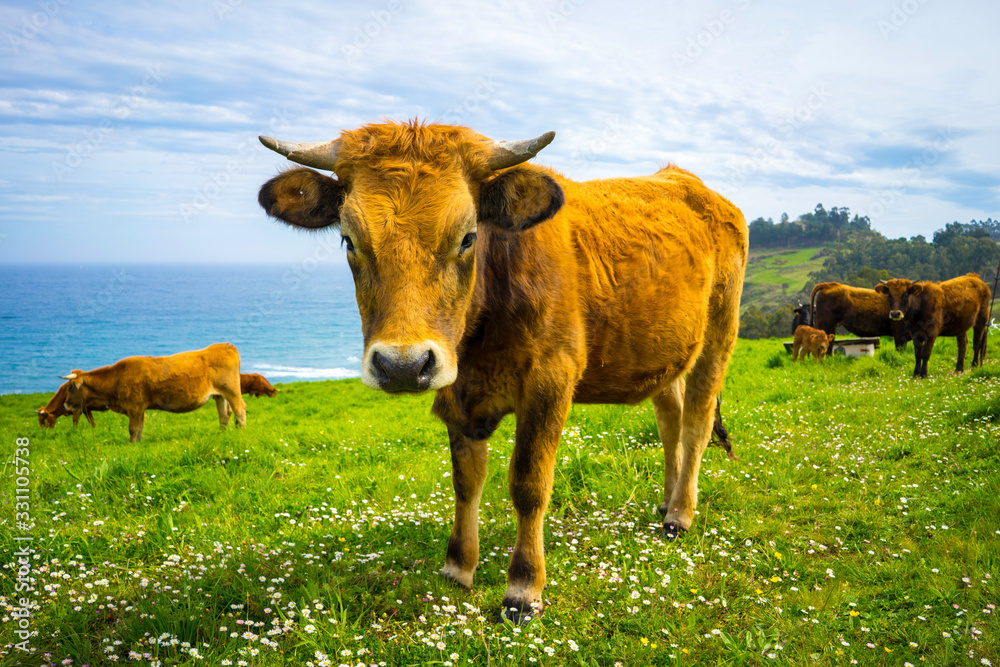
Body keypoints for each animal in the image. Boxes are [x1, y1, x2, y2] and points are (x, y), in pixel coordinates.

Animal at [60, 344, 246, 444]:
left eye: (70, 387)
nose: (66, 404)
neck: (117, 377)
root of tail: (225, 345)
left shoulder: (134, 408)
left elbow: (133, 429)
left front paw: (131, 446)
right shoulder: (140, 409)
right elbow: (140, 428)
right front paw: (139, 444)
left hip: (232, 391)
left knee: (239, 410)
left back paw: (242, 433)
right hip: (220, 395)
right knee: (224, 415)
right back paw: (220, 436)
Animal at [258, 118, 752, 620]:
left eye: (467, 236)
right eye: (349, 239)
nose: (402, 366)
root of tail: (689, 182)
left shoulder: (550, 382)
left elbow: (528, 484)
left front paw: (524, 587)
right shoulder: (456, 393)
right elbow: (465, 481)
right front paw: (458, 566)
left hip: (720, 333)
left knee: (696, 423)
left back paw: (680, 515)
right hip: (663, 351)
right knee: (670, 420)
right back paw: (666, 502)